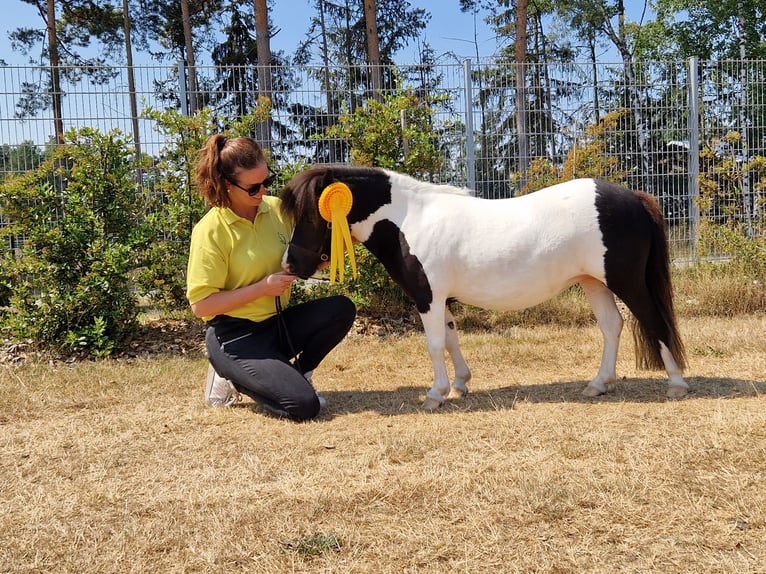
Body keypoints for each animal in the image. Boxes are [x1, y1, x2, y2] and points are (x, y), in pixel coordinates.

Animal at [280, 164, 688, 412]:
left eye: (311, 215)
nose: (289, 265)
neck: (408, 222)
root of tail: (633, 197)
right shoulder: (441, 298)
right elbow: (451, 338)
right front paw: (460, 385)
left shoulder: (428, 297)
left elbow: (435, 344)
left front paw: (435, 394)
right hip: (594, 282)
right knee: (611, 326)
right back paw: (599, 384)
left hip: (626, 281)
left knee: (653, 320)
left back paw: (676, 384)